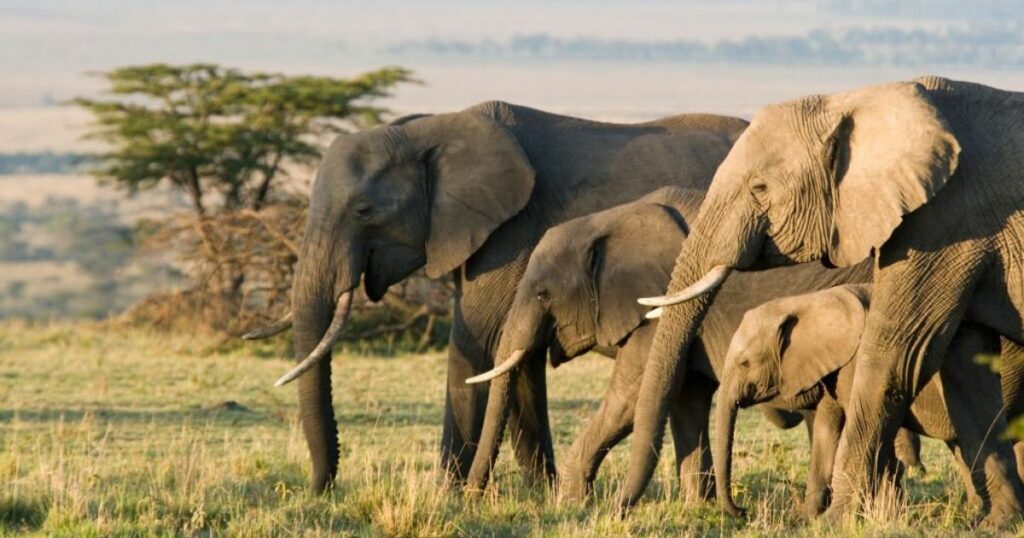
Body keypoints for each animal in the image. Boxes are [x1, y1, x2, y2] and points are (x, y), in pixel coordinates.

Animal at [244, 101, 749, 491]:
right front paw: (539, 494)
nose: (320, 489)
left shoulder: (510, 233)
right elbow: (516, 358)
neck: (428, 129)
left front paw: (447, 496)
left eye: (364, 211)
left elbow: (479, 343)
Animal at [462, 187, 920, 500]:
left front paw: (571, 503)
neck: (612, 219)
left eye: (542, 295)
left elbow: (630, 400)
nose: (473, 495)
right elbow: (686, 401)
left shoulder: (657, 311)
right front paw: (697, 506)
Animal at [713, 284, 1024, 525]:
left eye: (744, 363)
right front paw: (803, 519)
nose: (743, 511)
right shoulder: (834, 366)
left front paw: (882, 517)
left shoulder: (857, 362)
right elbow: (827, 429)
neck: (807, 301)